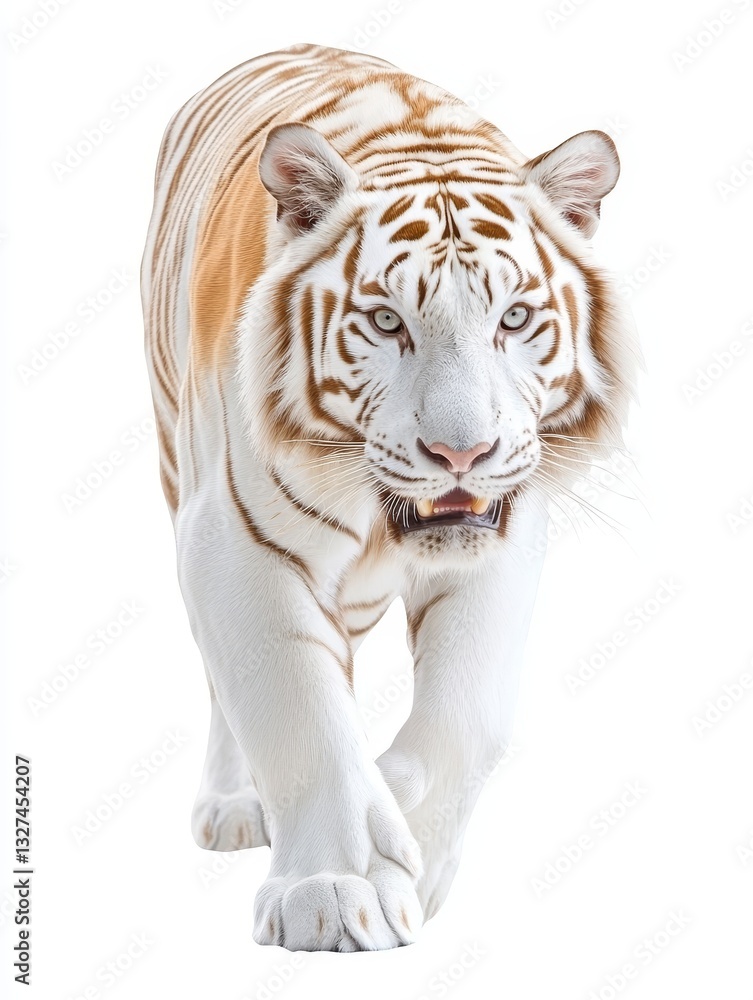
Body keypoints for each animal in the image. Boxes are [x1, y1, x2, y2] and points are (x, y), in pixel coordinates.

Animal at [141, 42, 636, 952]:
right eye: (384, 324)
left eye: (515, 319)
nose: (460, 453)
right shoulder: (231, 541)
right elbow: (296, 707)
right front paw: (335, 892)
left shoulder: (503, 539)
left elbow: (469, 714)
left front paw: (409, 834)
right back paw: (235, 806)